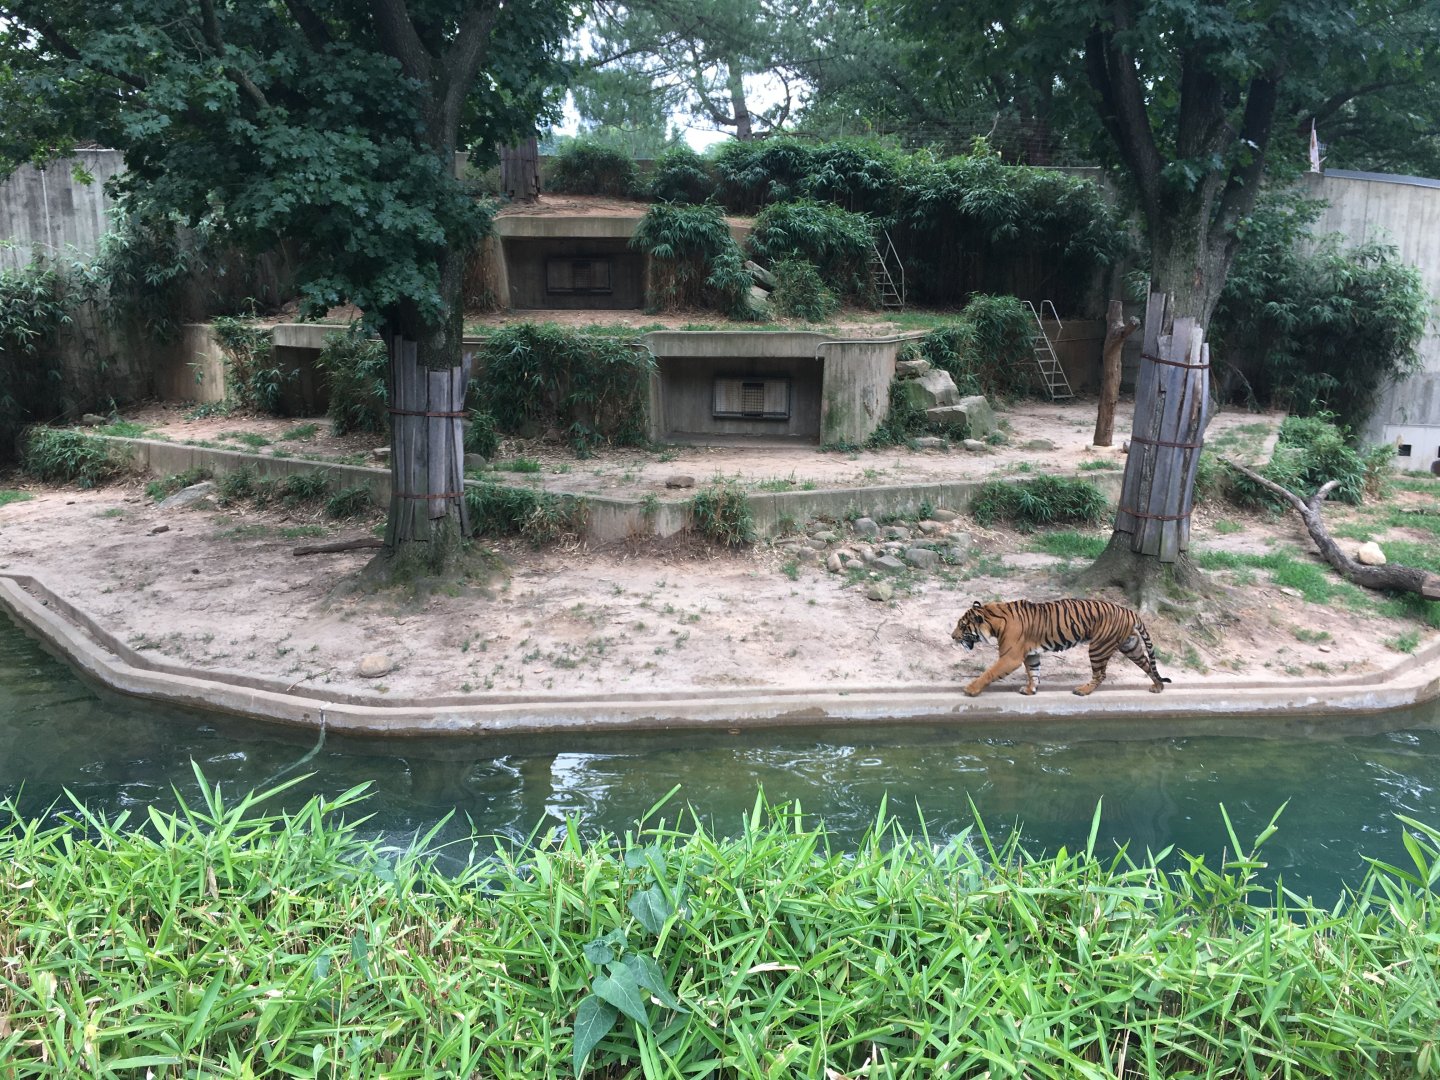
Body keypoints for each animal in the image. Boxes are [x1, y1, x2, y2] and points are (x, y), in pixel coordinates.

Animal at [952, 598, 1170, 697]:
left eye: (962, 626)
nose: (952, 637)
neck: (994, 618)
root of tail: (1130, 612)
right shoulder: (1031, 655)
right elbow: (1034, 672)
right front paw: (1030, 689)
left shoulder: (1010, 657)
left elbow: (989, 672)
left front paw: (971, 689)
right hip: (1131, 646)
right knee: (1148, 666)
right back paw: (1157, 687)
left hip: (1098, 647)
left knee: (1100, 674)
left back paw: (1082, 690)